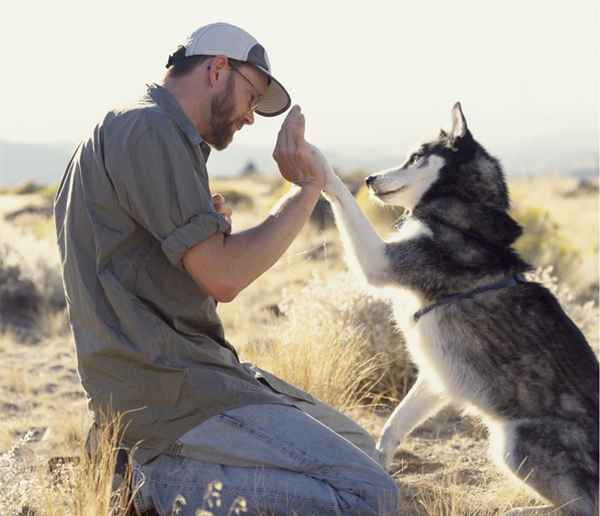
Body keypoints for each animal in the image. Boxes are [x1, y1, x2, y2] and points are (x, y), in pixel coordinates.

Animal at [316, 103, 596, 512]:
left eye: (415, 156)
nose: (368, 179)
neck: (461, 214)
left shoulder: (380, 261)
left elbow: (341, 197)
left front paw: (315, 161)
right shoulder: (437, 377)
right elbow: (392, 428)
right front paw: (381, 469)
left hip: (514, 442)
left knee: (580, 507)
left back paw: (521, 509)